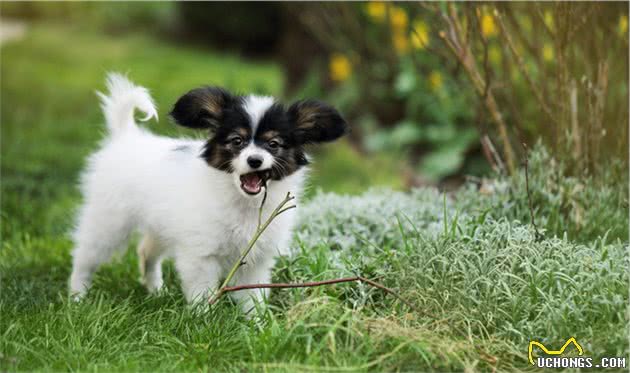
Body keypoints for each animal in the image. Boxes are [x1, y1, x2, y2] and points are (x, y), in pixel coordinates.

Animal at [69, 73, 350, 310]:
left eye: (273, 144)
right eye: (237, 141)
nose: (255, 160)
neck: (244, 204)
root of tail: (126, 136)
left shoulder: (256, 259)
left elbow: (253, 295)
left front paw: (256, 324)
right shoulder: (200, 255)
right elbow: (202, 292)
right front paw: (202, 320)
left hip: (161, 226)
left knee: (146, 252)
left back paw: (156, 291)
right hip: (109, 222)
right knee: (85, 256)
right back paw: (77, 296)